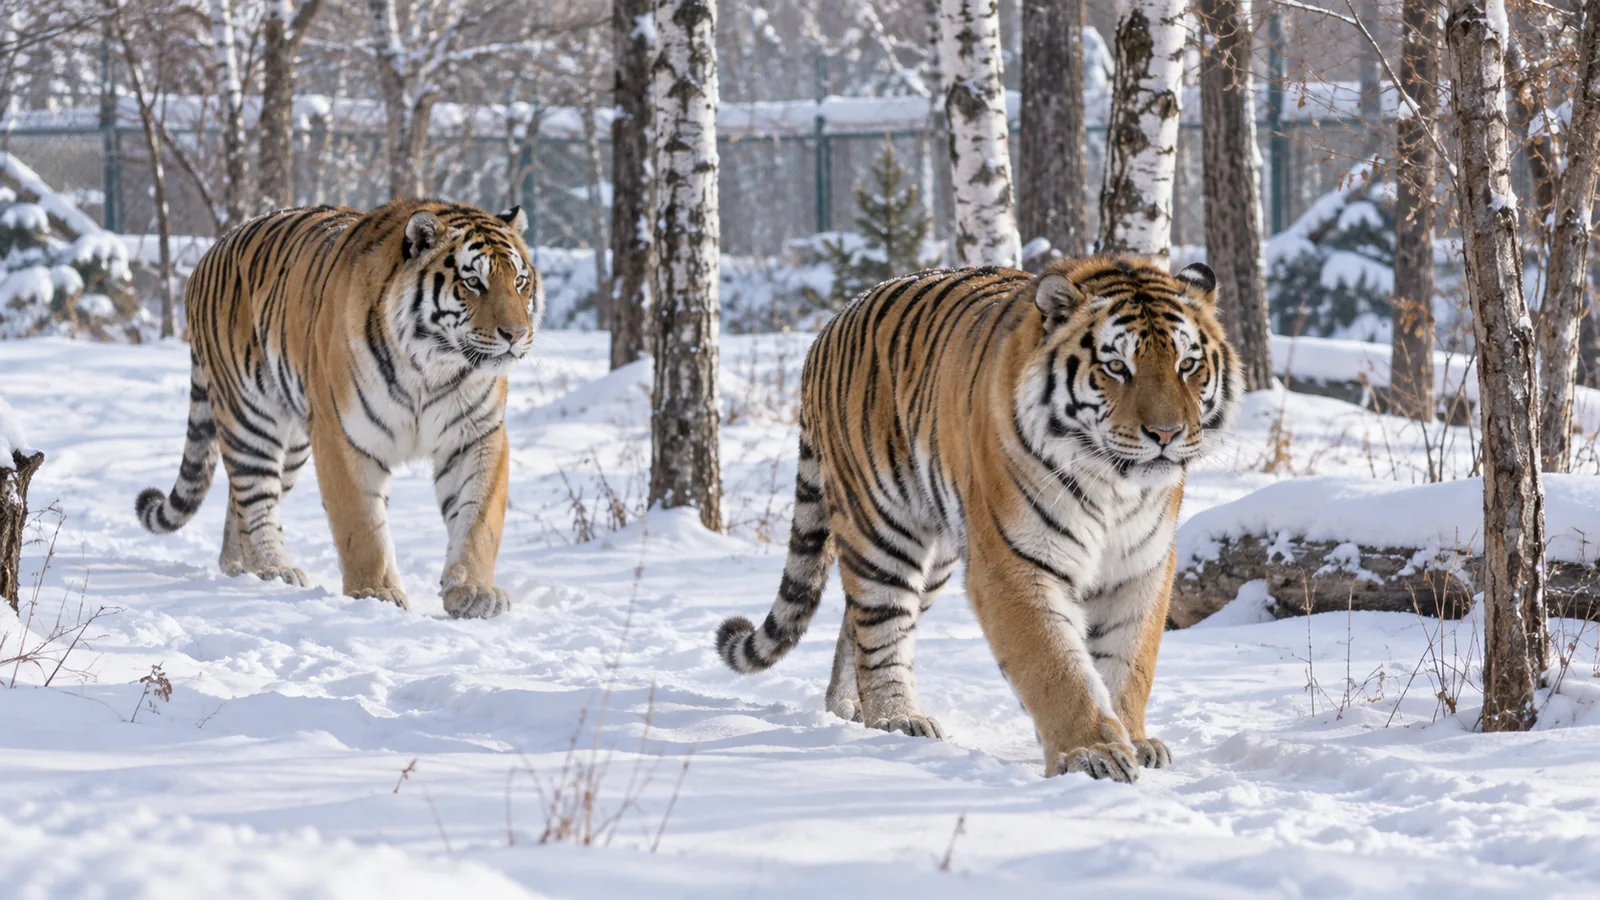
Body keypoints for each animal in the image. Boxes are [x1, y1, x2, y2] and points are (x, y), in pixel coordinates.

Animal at [135, 200, 542, 619]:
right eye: (473, 282)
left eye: (520, 281)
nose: (516, 334)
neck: (432, 367)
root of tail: (211, 251)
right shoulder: (342, 435)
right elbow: (361, 524)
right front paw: (375, 592)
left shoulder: (475, 435)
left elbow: (477, 518)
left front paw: (474, 591)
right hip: (249, 416)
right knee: (255, 496)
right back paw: (272, 569)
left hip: (294, 443)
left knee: (239, 502)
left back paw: (238, 566)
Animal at [715, 257, 1242, 781]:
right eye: (1116, 367)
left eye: (1187, 365)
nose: (1166, 434)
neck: (1115, 487)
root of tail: (828, 326)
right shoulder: (1014, 560)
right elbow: (1055, 663)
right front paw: (1094, 752)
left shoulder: (1142, 564)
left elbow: (1128, 661)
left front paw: (1133, 739)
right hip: (882, 528)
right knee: (880, 625)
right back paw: (896, 718)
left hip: (937, 558)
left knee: (856, 622)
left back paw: (847, 707)